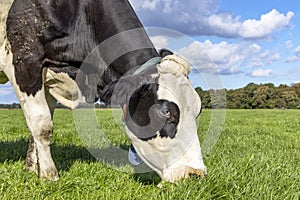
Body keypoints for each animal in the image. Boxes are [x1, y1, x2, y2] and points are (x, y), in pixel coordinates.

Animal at [0, 0, 206, 183]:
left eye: (198, 112)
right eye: (166, 112)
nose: (195, 173)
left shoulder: (48, 75)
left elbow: (41, 122)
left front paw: (32, 167)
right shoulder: (25, 60)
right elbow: (42, 126)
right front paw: (49, 174)